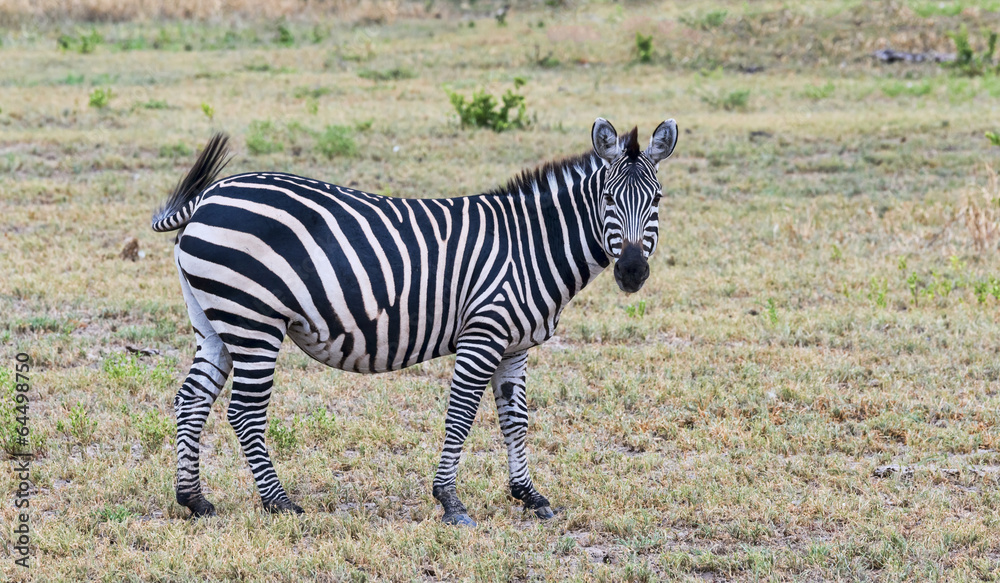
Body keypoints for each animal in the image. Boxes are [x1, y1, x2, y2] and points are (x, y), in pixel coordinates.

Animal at [153, 117, 678, 526]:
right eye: (607, 198)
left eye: (657, 200)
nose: (632, 272)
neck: (531, 245)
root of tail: (208, 198)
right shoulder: (483, 334)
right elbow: (461, 416)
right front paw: (450, 502)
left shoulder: (515, 346)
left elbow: (516, 419)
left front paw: (528, 495)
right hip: (254, 322)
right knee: (245, 411)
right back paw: (279, 503)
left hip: (216, 322)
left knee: (191, 399)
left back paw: (194, 500)